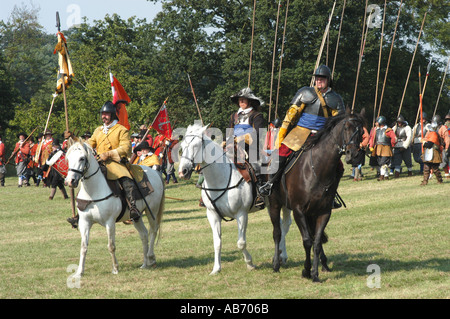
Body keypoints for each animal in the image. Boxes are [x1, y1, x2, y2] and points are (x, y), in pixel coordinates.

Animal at [65, 142, 165, 278]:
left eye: (82, 158)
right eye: (68, 159)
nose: (70, 181)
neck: (93, 191)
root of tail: (155, 173)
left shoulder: (110, 222)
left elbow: (111, 246)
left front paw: (115, 268)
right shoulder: (84, 223)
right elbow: (83, 246)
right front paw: (80, 272)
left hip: (152, 211)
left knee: (153, 231)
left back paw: (151, 258)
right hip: (136, 216)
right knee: (144, 234)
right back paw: (144, 264)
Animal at [178, 122, 294, 276]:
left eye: (196, 145)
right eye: (182, 145)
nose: (182, 172)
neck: (220, 178)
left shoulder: (241, 214)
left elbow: (241, 243)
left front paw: (250, 263)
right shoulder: (212, 215)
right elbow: (217, 242)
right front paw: (216, 268)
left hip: (284, 204)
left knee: (286, 225)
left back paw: (282, 254)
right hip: (271, 204)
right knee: (280, 224)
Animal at [268, 108, 366, 282]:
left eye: (361, 131)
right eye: (346, 127)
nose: (354, 155)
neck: (317, 168)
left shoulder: (323, 212)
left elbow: (317, 242)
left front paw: (315, 273)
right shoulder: (298, 211)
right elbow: (307, 241)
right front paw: (306, 271)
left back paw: (324, 263)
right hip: (274, 204)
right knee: (277, 233)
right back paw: (276, 264)